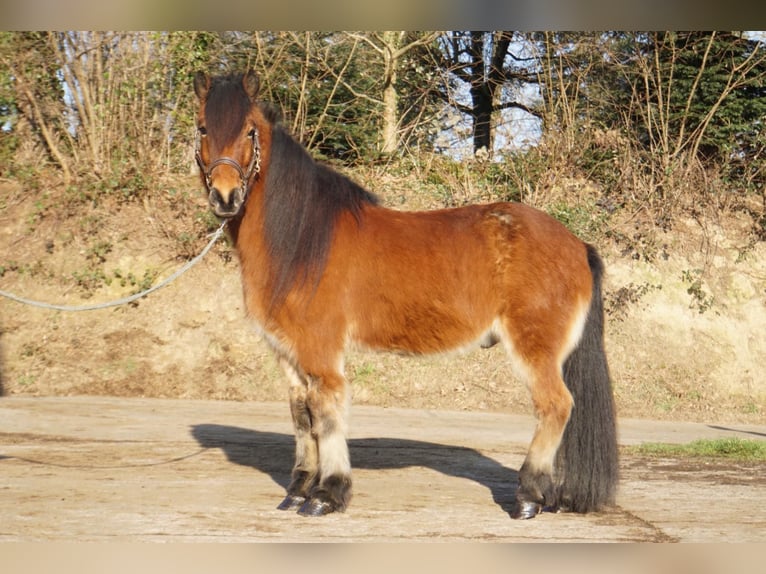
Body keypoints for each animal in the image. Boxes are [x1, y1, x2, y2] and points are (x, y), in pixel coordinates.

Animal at [195, 70, 620, 520]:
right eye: (202, 128)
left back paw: (528, 497)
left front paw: (327, 494)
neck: (302, 239)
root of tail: (577, 245)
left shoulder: (321, 354)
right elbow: (301, 417)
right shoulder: (288, 355)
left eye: (249, 130)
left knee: (555, 406)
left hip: (534, 349)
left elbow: (327, 416)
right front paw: (298, 490)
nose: (225, 197)